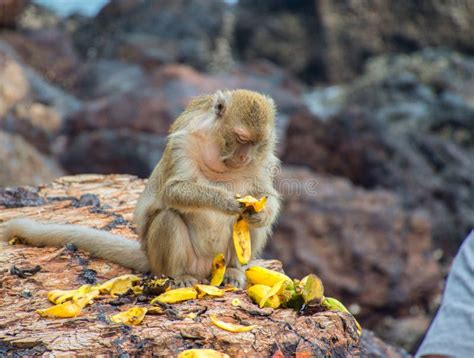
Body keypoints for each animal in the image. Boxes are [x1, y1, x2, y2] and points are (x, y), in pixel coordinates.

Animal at [1, 89, 280, 288]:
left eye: (257, 143)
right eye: (242, 139)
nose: (244, 157)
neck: (218, 152)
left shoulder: (261, 161)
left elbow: (267, 198)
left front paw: (260, 213)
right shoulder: (184, 141)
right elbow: (171, 191)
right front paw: (223, 201)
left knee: (248, 225)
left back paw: (234, 268)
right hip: (165, 260)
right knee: (168, 218)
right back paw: (180, 275)